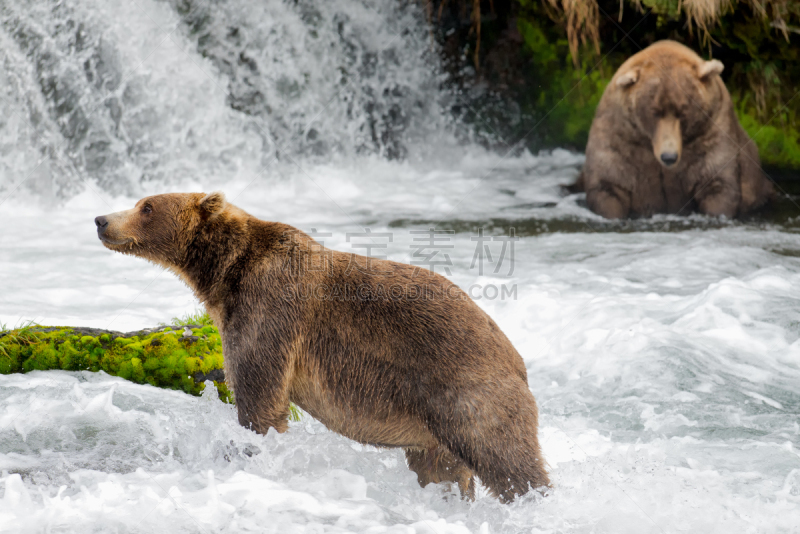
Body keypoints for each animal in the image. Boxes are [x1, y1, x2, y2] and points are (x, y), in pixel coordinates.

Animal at [95, 193, 552, 502]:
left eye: (147, 206)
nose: (101, 219)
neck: (225, 274)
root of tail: (516, 357)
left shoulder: (269, 308)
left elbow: (259, 395)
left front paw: (248, 453)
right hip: (433, 426)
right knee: (442, 469)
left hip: (467, 390)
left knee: (506, 458)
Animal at [576, 39, 776, 220]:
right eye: (654, 111)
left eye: (683, 110)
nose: (669, 157)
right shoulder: (620, 138)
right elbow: (608, 185)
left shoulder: (711, 132)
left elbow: (718, 185)